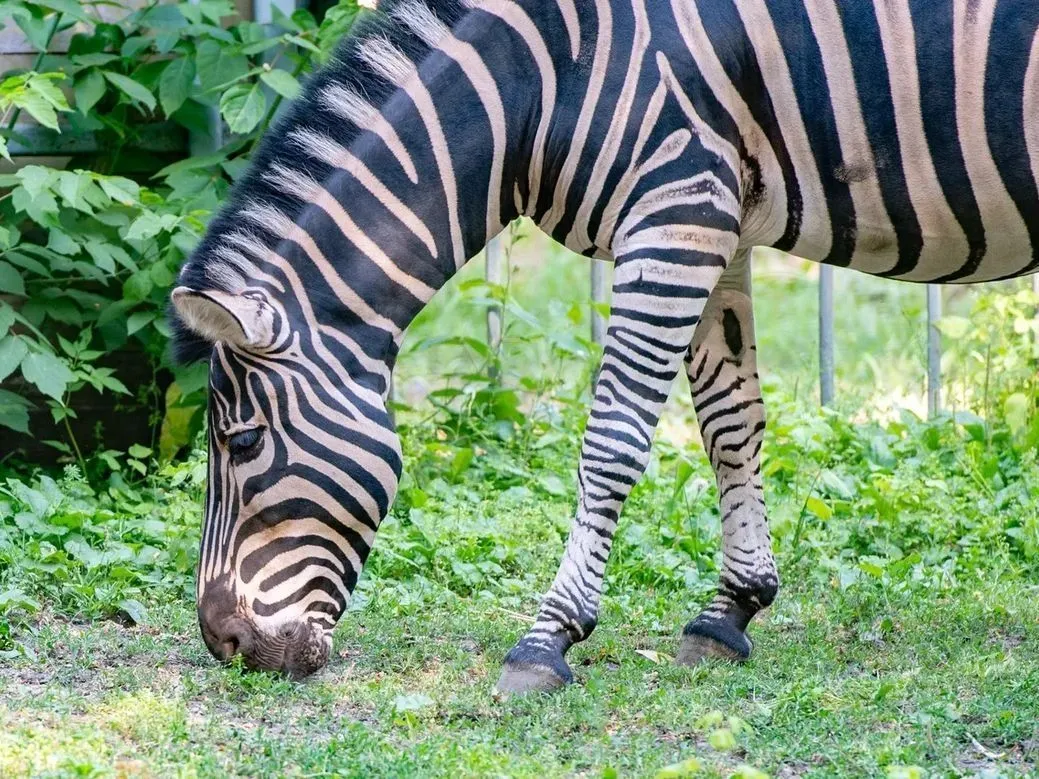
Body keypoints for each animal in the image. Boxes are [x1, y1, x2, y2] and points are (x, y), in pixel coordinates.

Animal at [170, 1, 1039, 693]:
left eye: (241, 442)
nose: (226, 644)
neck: (540, 83)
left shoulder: (675, 215)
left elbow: (611, 442)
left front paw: (547, 636)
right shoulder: (719, 226)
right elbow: (730, 423)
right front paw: (730, 608)